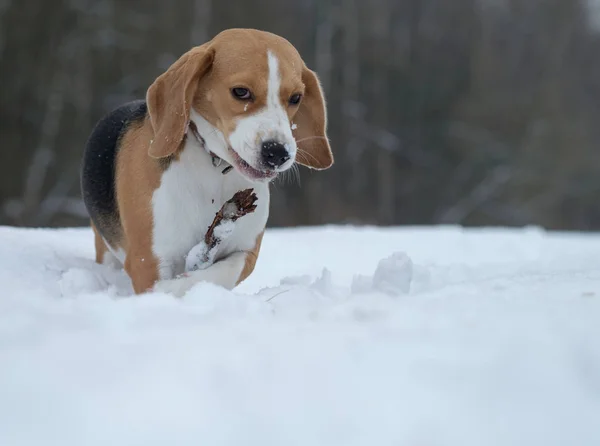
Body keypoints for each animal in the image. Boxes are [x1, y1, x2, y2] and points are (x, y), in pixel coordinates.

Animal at [79, 27, 332, 296]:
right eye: (241, 92)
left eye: (296, 98)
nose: (277, 153)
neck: (215, 169)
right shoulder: (147, 260)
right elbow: (159, 285)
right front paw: (164, 290)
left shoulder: (246, 250)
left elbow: (218, 273)